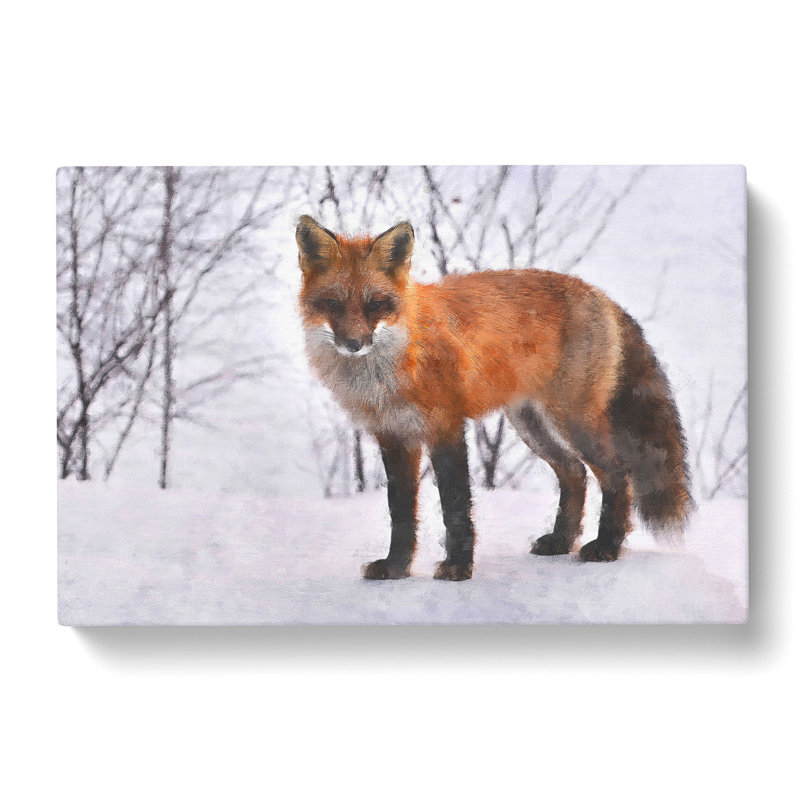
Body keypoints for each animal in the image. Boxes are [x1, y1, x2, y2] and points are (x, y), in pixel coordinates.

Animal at [296, 214, 692, 581]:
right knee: (574, 472)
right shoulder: (394, 436)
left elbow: (455, 505)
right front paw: (396, 568)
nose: (353, 344)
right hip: (532, 425)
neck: (391, 367)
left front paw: (458, 566)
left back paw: (607, 547)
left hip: (574, 421)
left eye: (375, 305)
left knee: (616, 473)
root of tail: (601, 296)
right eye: (332, 304)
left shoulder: (445, 427)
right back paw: (561, 541)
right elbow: (401, 512)